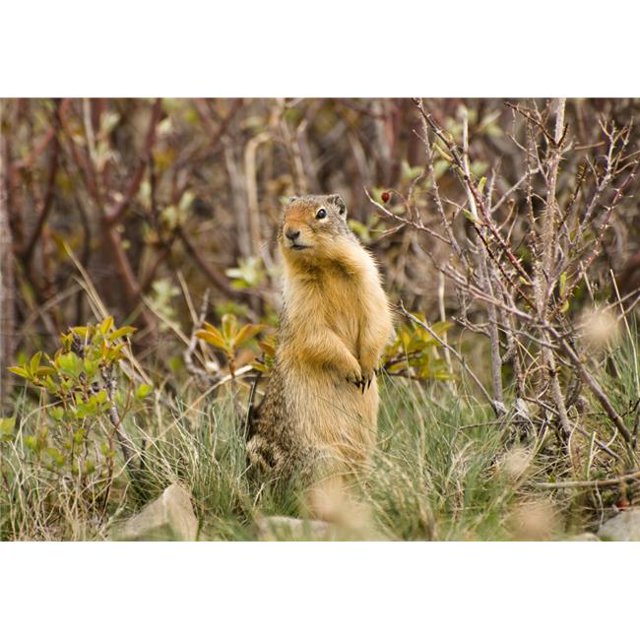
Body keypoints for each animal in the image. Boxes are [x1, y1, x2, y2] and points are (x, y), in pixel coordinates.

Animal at [246, 194, 393, 487]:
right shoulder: (301, 302)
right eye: (284, 215)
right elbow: (317, 336)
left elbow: (377, 320)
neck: (325, 266)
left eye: (321, 213)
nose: (291, 232)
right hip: (319, 457)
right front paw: (353, 369)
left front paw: (367, 368)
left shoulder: (370, 279)